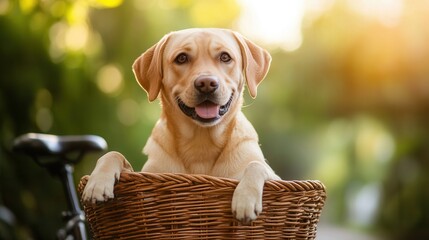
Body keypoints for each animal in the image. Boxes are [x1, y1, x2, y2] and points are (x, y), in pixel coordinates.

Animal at [81, 28, 280, 223]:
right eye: (182, 58)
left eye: (225, 57)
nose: (206, 84)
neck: (200, 141)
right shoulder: (147, 182)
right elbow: (114, 154)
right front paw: (97, 182)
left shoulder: (275, 176)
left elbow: (256, 165)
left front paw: (245, 199)